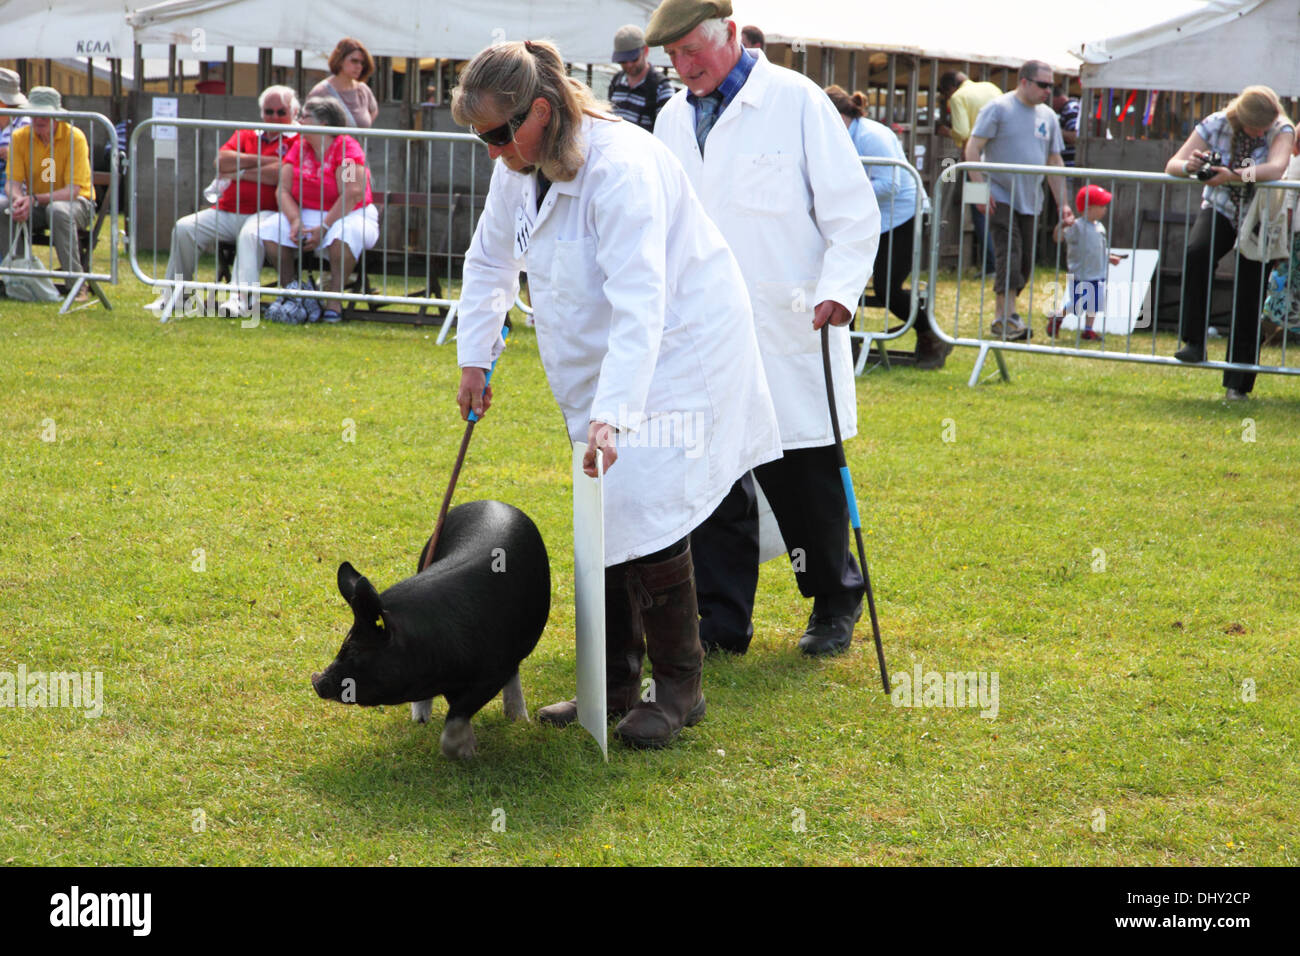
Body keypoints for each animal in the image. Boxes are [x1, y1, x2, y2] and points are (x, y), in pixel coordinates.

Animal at [312, 502, 551, 764]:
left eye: (355, 650)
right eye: (344, 644)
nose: (316, 681)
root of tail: (490, 501)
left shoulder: (493, 672)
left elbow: (457, 714)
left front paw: (464, 753)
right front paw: (468, 749)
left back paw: (518, 719)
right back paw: (420, 720)